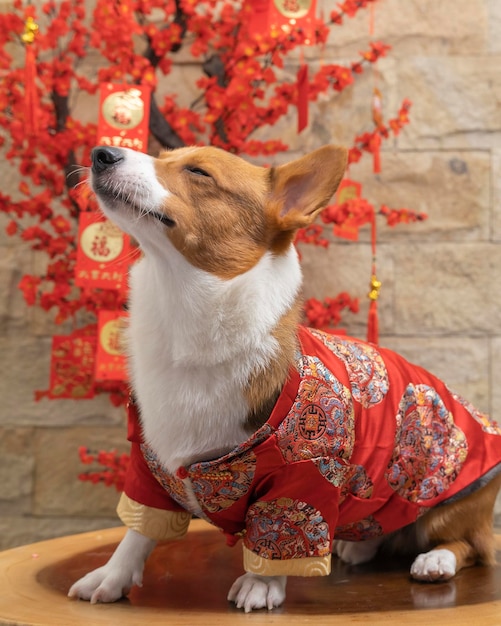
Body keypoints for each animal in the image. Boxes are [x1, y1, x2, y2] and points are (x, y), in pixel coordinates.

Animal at [68, 145, 500, 608]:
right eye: (163, 154)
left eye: (199, 172)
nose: (101, 153)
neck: (185, 315)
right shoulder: (149, 468)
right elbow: (137, 531)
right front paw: (111, 577)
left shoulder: (305, 474)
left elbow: (280, 532)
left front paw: (261, 584)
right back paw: (358, 545)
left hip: (448, 499)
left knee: (469, 545)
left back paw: (435, 560)